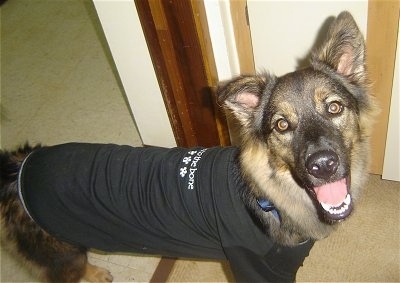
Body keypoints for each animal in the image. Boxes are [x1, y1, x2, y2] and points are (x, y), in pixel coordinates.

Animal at [0, 11, 376, 282]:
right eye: (281, 125)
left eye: (334, 108)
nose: (323, 165)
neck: (270, 198)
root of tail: (18, 165)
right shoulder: (254, 268)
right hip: (61, 255)